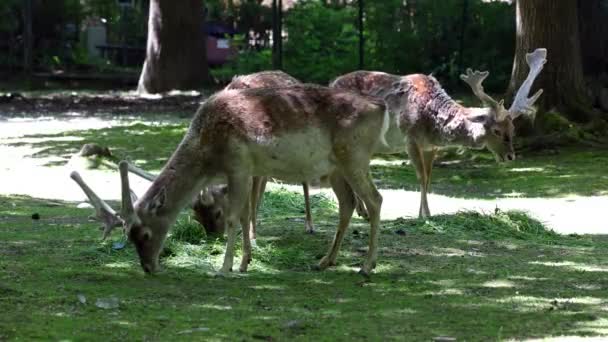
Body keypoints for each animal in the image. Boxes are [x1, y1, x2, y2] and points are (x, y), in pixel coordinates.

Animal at [330, 47, 548, 216]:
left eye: (513, 128)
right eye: (496, 130)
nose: (511, 156)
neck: (432, 124)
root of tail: (331, 82)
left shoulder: (431, 146)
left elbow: (429, 177)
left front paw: (427, 212)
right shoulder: (410, 138)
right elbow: (421, 176)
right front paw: (423, 214)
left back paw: (361, 210)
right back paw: (361, 210)